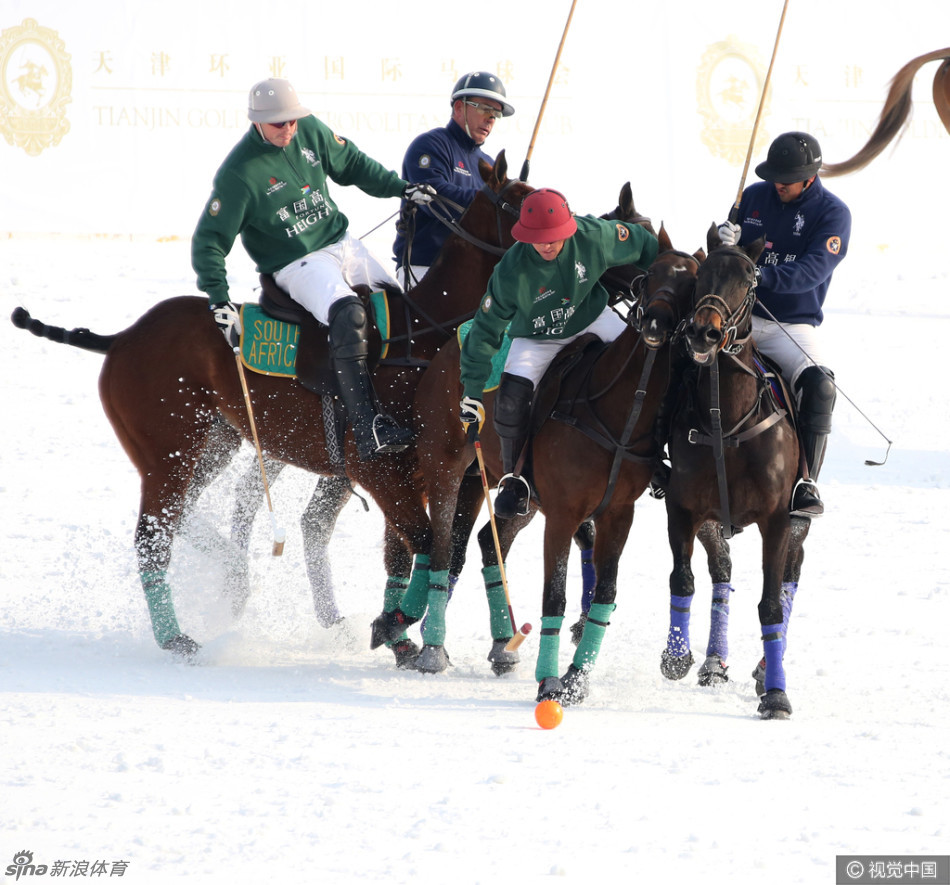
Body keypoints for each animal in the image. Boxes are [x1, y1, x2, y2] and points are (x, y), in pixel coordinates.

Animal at [11, 152, 536, 660]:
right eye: (519, 206)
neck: (422, 336)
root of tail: (121, 338)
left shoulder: (421, 474)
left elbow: (410, 552)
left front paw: (400, 636)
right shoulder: (378, 468)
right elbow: (426, 541)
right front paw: (397, 629)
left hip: (211, 442)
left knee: (179, 517)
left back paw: (233, 577)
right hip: (167, 450)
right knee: (151, 538)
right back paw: (178, 639)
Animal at [388, 224, 708, 688]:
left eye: (693, 284)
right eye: (653, 274)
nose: (655, 323)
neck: (618, 412)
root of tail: (456, 341)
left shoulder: (617, 514)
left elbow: (605, 595)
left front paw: (576, 679)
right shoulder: (563, 514)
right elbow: (554, 597)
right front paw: (549, 681)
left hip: (500, 485)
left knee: (483, 544)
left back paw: (495, 644)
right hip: (444, 464)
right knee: (444, 548)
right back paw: (429, 645)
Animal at [660, 228, 812, 720]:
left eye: (749, 280)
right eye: (700, 275)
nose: (703, 331)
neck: (727, 418)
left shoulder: (778, 520)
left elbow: (770, 605)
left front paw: (777, 695)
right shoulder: (683, 507)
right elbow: (683, 577)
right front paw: (676, 656)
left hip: (799, 522)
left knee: (790, 575)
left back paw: (766, 670)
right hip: (713, 520)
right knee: (721, 570)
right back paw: (713, 661)